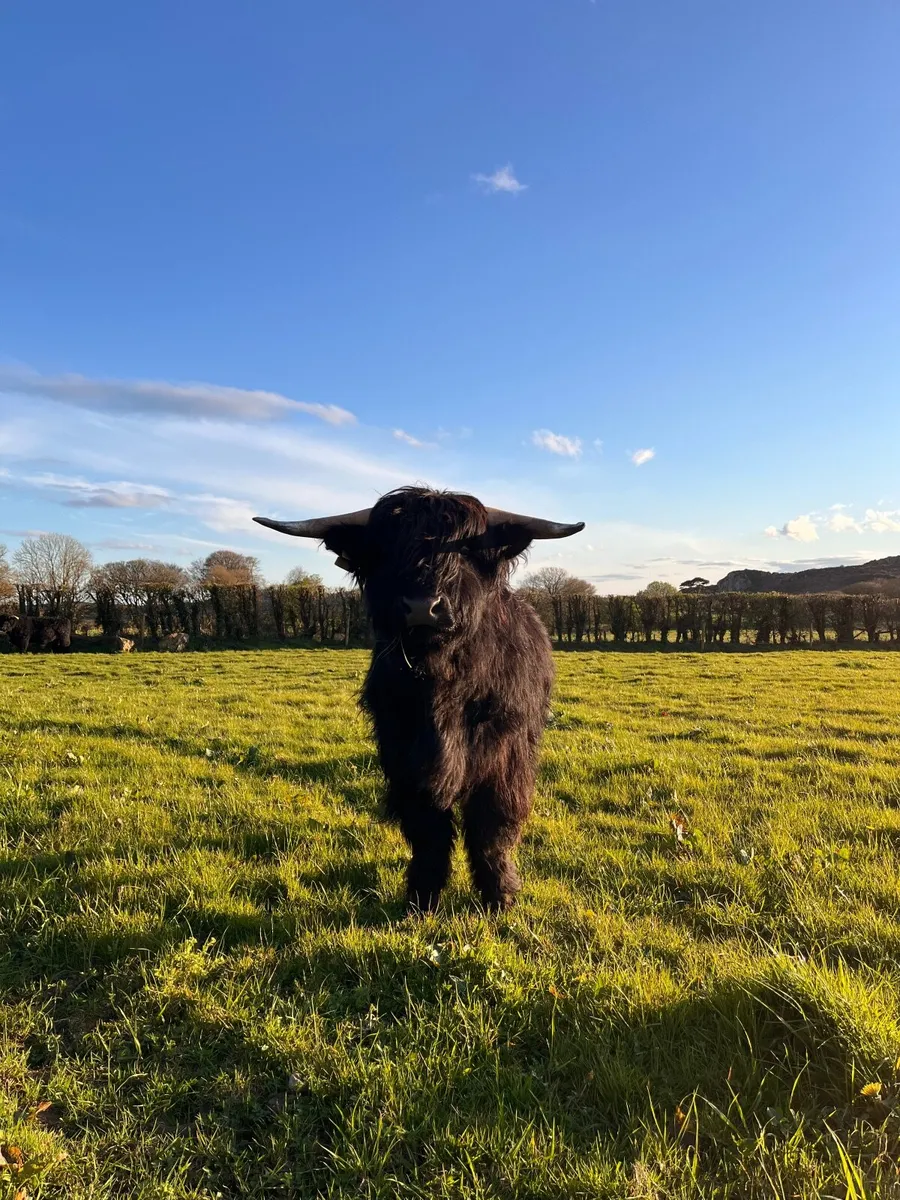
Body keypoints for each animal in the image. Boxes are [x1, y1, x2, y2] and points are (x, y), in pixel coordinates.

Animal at [255, 486, 584, 912]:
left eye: (464, 548)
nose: (422, 607)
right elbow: (427, 829)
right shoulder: (402, 751)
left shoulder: (506, 754)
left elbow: (492, 825)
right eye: (390, 547)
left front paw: (500, 895)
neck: (441, 684)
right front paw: (422, 896)